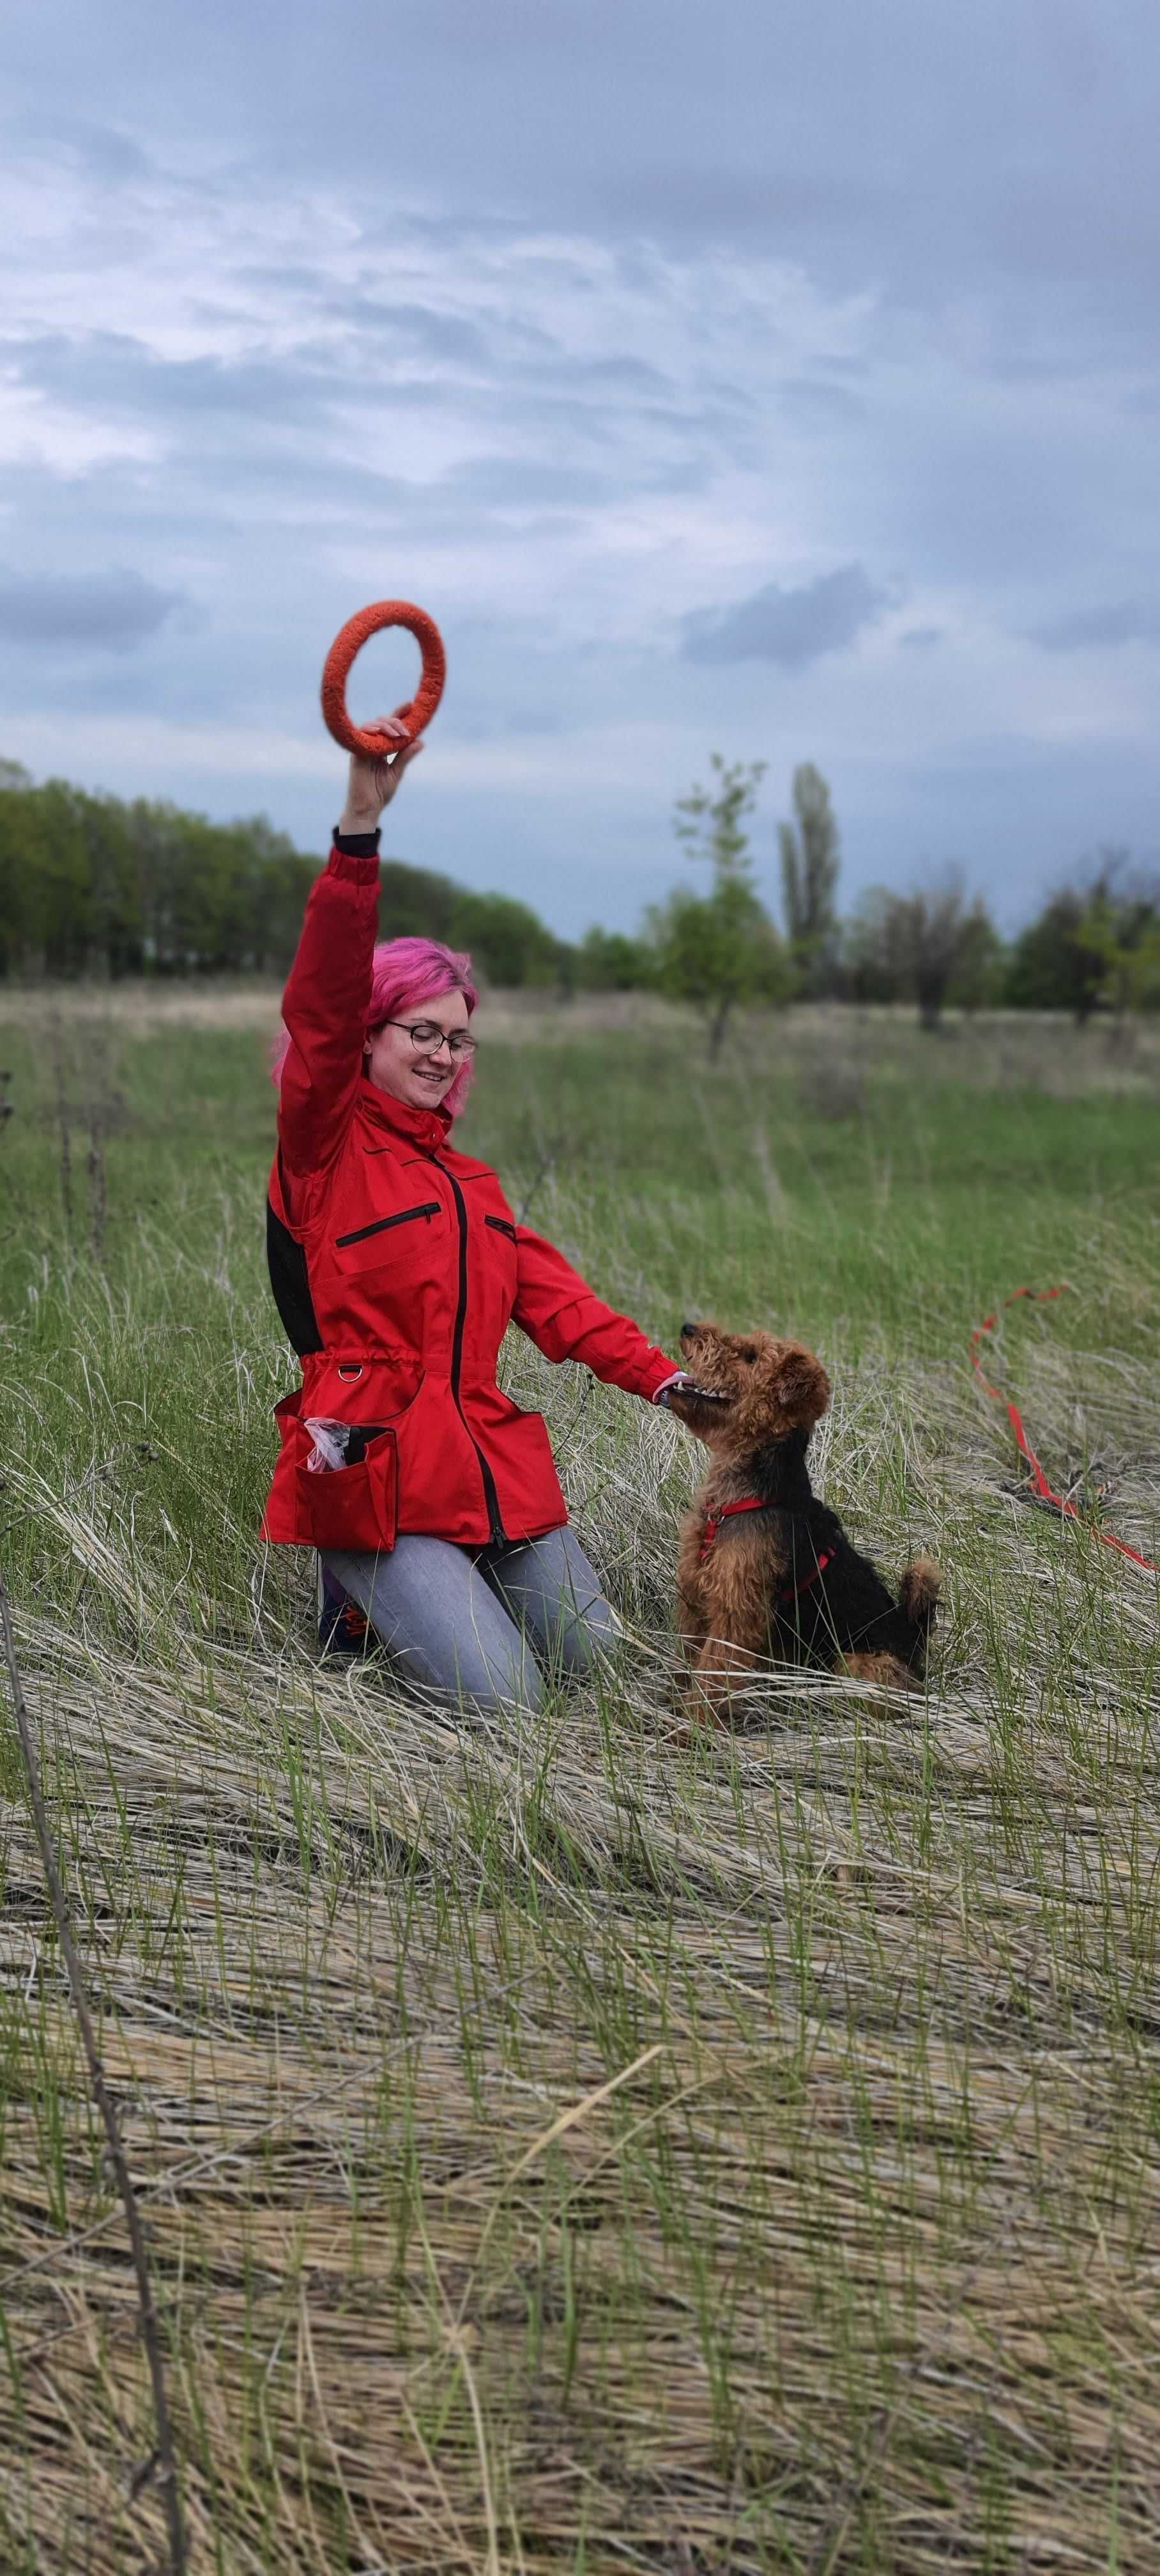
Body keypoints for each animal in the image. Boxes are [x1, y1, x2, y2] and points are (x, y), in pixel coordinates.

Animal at [660, 1319, 943, 1721]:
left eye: (751, 1356)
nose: (688, 1327)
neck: (742, 1496)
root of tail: (911, 1636)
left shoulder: (736, 1614)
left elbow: (713, 1674)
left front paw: (692, 1726)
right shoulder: (696, 1595)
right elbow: (690, 1661)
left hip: (857, 1664)